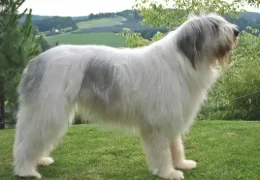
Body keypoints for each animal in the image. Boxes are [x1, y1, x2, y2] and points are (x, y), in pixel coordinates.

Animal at [12, 12, 240, 179]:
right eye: (215, 26)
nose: (237, 31)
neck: (184, 60)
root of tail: (35, 62)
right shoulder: (157, 123)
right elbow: (163, 151)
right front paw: (168, 172)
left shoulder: (172, 117)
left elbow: (175, 146)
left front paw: (182, 164)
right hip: (48, 111)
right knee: (28, 142)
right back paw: (26, 170)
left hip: (40, 111)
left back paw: (39, 160)